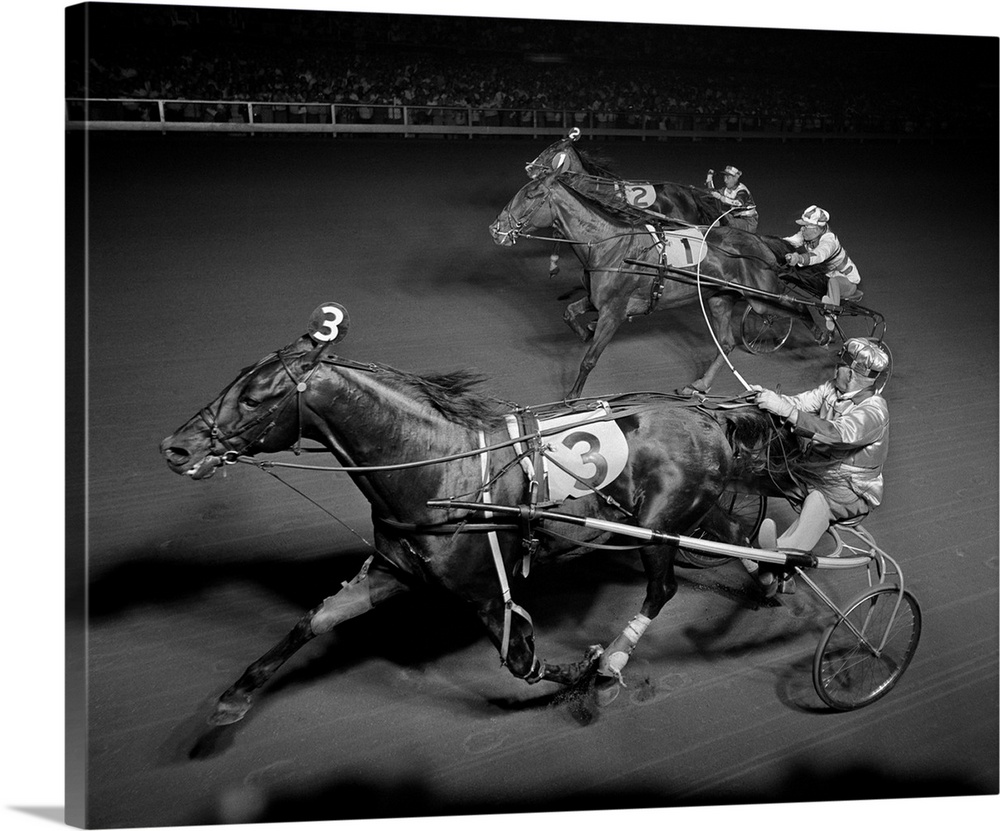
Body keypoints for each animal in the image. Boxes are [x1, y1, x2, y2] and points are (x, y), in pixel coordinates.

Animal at [160, 302, 916, 724]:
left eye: (256, 396)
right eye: (233, 380)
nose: (178, 446)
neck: (441, 470)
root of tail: (707, 414)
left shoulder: (480, 588)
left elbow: (521, 662)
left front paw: (589, 673)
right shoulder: (395, 568)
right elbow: (315, 618)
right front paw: (233, 699)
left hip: (660, 525)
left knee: (663, 587)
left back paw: (623, 656)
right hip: (691, 515)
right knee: (745, 533)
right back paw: (775, 570)